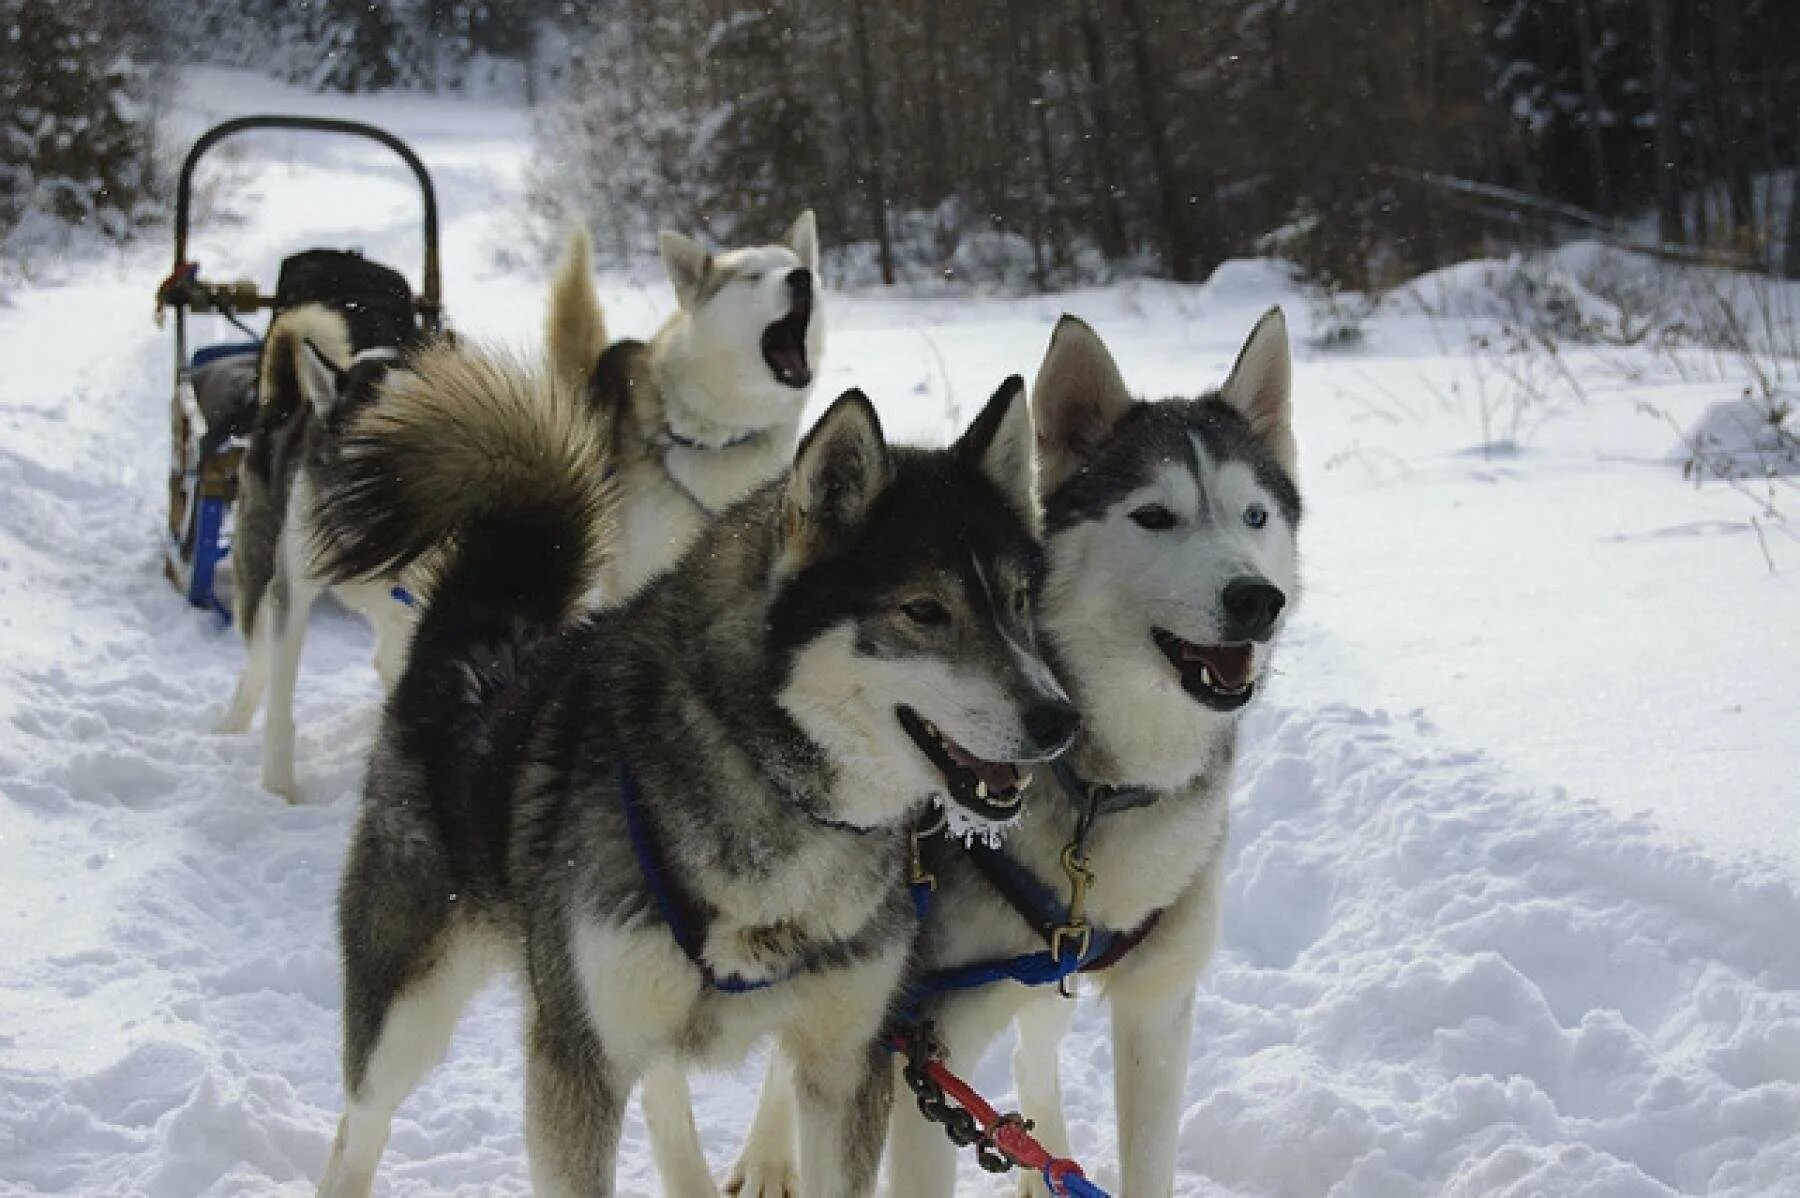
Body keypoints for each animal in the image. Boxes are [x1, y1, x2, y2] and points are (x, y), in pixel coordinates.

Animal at [216, 303, 415, 798]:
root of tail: (287, 402)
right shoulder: (292, 595)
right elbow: (280, 708)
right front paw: (279, 792)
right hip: (262, 587)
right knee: (255, 672)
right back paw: (227, 731)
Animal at [306, 338, 1080, 1194]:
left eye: (1018, 602)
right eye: (923, 611)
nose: (1059, 719)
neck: (778, 798)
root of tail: (478, 637)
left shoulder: (845, 1065)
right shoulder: (577, 1062)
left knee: (661, 1093)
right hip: (408, 1011)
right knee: (357, 1127)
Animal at [720, 309, 1310, 1194]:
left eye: (1255, 517)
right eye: (1154, 517)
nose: (1256, 599)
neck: (1100, 785)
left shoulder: (1158, 1009)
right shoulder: (924, 1050)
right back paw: (767, 1154)